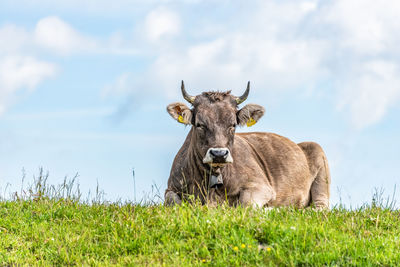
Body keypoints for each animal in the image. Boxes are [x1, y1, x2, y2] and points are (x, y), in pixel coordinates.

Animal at [164, 81, 330, 209]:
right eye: (200, 124)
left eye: (233, 124)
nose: (219, 154)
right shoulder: (170, 189)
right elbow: (173, 202)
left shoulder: (261, 186)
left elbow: (245, 205)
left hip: (319, 160)